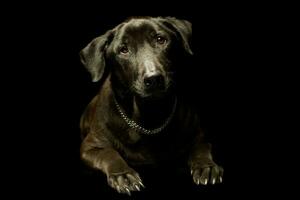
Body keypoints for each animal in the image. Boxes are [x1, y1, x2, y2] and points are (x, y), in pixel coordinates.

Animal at [79, 16, 223, 195]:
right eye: (123, 49)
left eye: (160, 39)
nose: (153, 78)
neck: (150, 116)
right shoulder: (90, 146)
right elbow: (109, 153)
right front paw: (123, 175)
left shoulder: (200, 136)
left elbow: (201, 149)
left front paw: (206, 166)